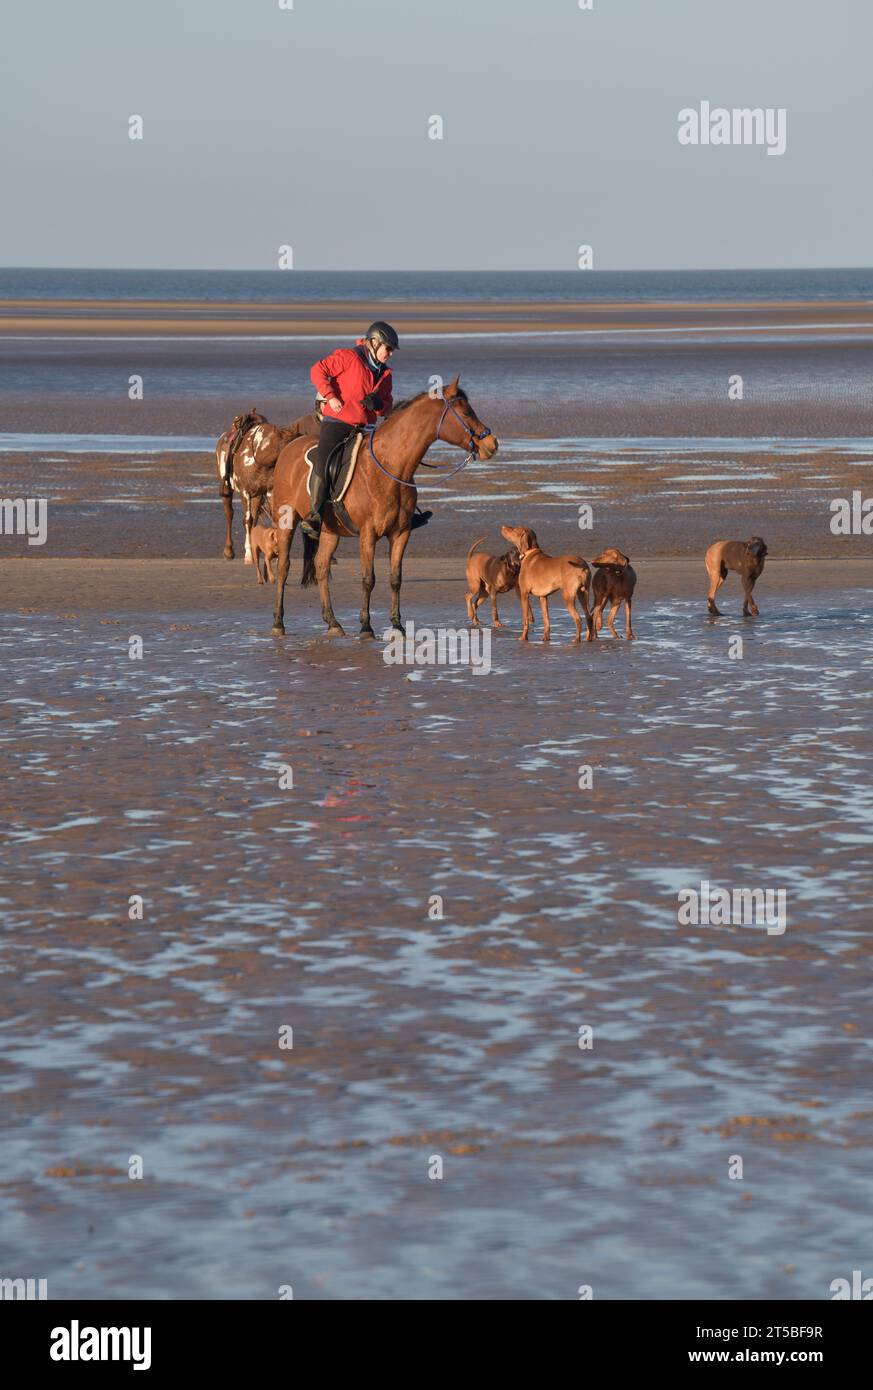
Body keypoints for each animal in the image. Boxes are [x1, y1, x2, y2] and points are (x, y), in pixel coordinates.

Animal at [216, 405, 322, 564]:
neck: (258, 454)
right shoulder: (245, 492)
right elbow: (247, 520)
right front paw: (249, 555)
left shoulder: (269, 491)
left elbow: (274, 519)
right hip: (228, 489)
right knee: (229, 514)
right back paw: (229, 551)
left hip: (258, 495)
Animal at [265, 380, 497, 639]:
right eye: (466, 413)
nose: (492, 443)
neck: (391, 465)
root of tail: (289, 447)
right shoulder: (368, 534)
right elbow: (368, 579)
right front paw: (366, 626)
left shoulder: (400, 533)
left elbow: (395, 578)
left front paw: (397, 625)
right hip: (286, 521)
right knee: (284, 567)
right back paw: (278, 622)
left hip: (330, 530)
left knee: (322, 567)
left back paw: (333, 622)